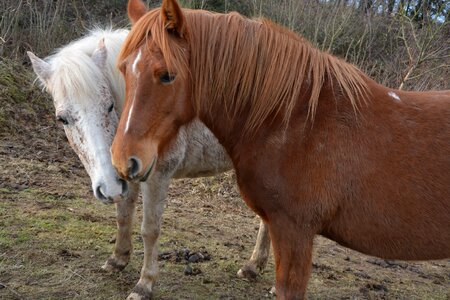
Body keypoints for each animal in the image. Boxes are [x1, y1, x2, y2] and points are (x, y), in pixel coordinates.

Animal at [28, 28, 270, 300]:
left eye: (109, 106)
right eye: (63, 119)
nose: (107, 187)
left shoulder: (156, 177)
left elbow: (150, 229)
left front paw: (144, 284)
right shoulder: (124, 173)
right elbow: (123, 214)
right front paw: (118, 259)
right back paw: (253, 266)